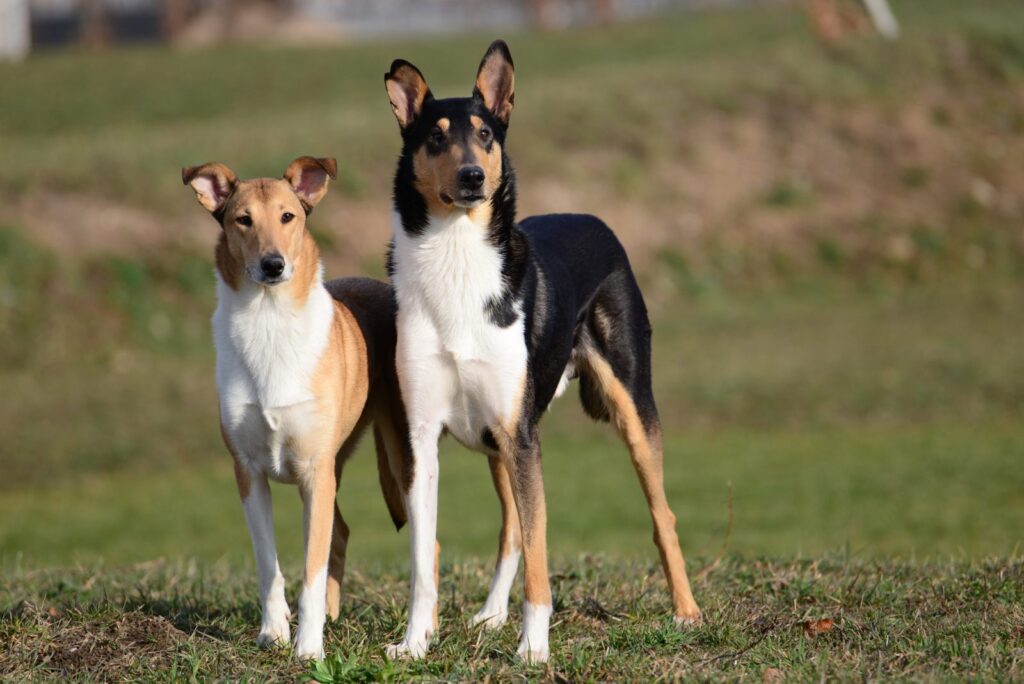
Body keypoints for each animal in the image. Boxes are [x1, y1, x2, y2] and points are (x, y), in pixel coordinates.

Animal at [184, 157, 411, 659]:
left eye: (288, 216)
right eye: (242, 219)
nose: (273, 264)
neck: (269, 322)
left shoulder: (313, 471)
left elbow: (309, 568)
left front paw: (308, 648)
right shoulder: (248, 473)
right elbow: (269, 564)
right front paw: (274, 632)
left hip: (397, 459)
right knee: (341, 531)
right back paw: (332, 614)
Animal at [385, 42, 704, 663]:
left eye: (486, 134)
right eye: (434, 138)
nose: (472, 176)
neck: (456, 256)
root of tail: (592, 218)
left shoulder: (521, 436)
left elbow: (540, 553)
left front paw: (533, 648)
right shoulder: (424, 440)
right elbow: (423, 559)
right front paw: (414, 643)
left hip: (628, 407)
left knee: (662, 514)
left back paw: (686, 612)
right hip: (498, 439)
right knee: (511, 527)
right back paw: (489, 615)